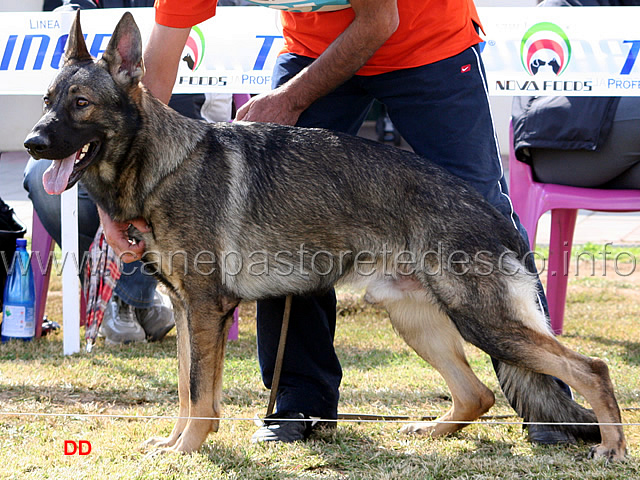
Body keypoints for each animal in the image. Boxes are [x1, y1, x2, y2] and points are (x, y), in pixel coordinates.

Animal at [26, 12, 624, 462]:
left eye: (80, 103)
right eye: (47, 99)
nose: (32, 143)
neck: (158, 164)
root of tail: (495, 214)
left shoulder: (204, 309)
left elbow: (198, 393)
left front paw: (187, 449)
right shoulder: (189, 311)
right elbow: (185, 389)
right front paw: (177, 442)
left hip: (483, 320)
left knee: (590, 368)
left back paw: (611, 448)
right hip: (416, 319)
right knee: (477, 394)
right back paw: (430, 431)